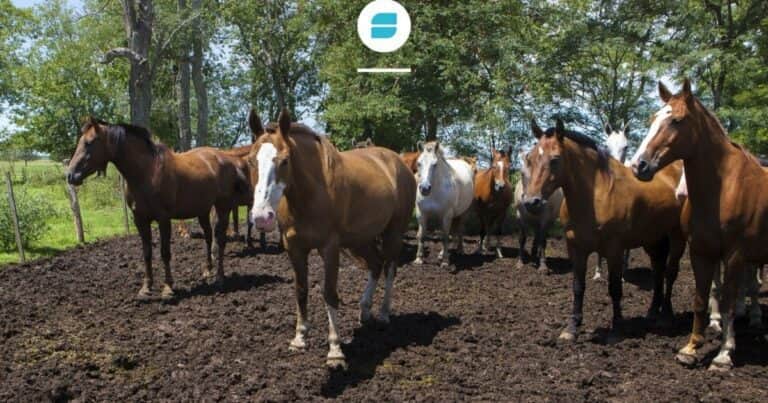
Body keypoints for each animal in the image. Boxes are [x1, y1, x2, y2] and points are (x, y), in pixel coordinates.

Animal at [66, 118, 249, 299]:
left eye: (89, 142)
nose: (70, 175)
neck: (146, 172)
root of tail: (226, 159)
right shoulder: (140, 219)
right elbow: (147, 253)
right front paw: (146, 288)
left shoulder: (163, 219)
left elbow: (165, 252)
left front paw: (168, 288)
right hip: (203, 210)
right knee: (209, 237)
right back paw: (207, 271)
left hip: (223, 208)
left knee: (220, 240)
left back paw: (219, 278)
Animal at [247, 109, 416, 368]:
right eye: (250, 161)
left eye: (285, 161)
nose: (261, 217)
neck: (310, 195)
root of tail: (399, 163)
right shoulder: (294, 248)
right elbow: (301, 290)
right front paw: (299, 338)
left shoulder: (330, 248)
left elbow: (329, 294)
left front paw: (335, 351)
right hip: (361, 240)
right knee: (376, 265)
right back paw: (364, 311)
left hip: (393, 233)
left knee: (389, 268)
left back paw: (383, 314)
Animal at [523, 118, 685, 341]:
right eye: (529, 159)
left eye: (555, 159)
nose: (532, 202)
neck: (596, 195)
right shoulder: (577, 249)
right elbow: (578, 287)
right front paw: (572, 328)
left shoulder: (614, 250)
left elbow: (615, 288)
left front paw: (616, 328)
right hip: (654, 239)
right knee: (658, 270)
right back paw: (653, 312)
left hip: (676, 238)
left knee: (670, 272)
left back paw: (666, 316)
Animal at [630, 79, 768, 370]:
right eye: (653, 119)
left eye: (677, 120)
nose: (639, 165)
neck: (723, 188)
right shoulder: (701, 252)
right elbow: (701, 298)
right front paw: (691, 348)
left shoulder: (735, 255)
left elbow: (727, 303)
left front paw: (724, 354)